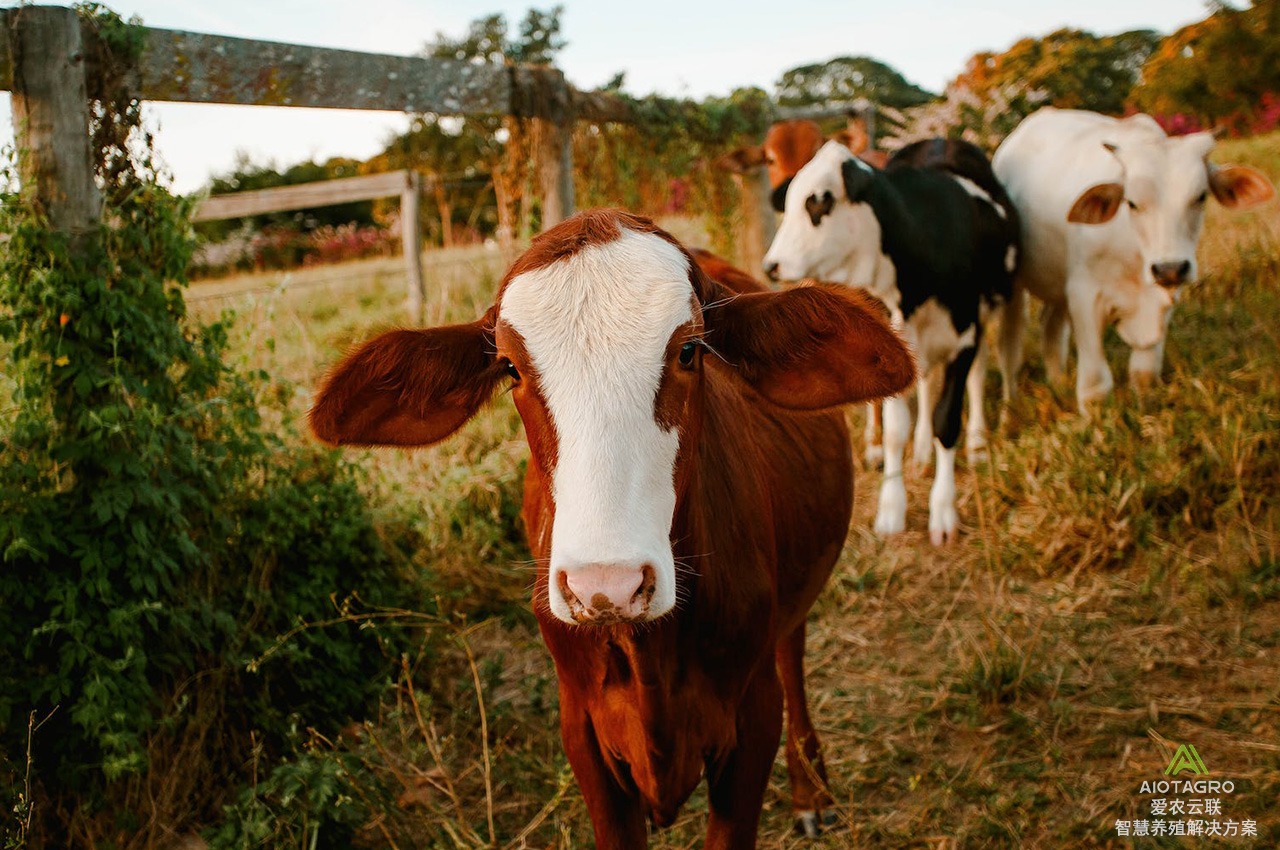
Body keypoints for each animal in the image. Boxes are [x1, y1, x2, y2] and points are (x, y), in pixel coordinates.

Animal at [308, 211, 911, 844]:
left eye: (690, 350)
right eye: (510, 367)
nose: (607, 586)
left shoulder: (751, 719)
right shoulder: (584, 734)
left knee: (791, 650)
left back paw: (811, 790)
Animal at [757, 136, 1018, 540]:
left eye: (820, 201)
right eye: (790, 200)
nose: (772, 265)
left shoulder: (965, 338)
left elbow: (947, 420)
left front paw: (943, 510)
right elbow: (897, 430)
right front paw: (892, 508)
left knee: (978, 375)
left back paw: (975, 443)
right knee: (925, 385)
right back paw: (923, 451)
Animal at [988, 108, 1269, 409]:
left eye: (1201, 197)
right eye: (1131, 203)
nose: (1170, 269)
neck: (1134, 254)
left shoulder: (1163, 298)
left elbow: (1144, 373)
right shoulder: (1084, 296)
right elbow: (1095, 386)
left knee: (1051, 332)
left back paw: (1058, 386)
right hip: (1016, 287)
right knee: (1009, 348)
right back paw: (1010, 407)